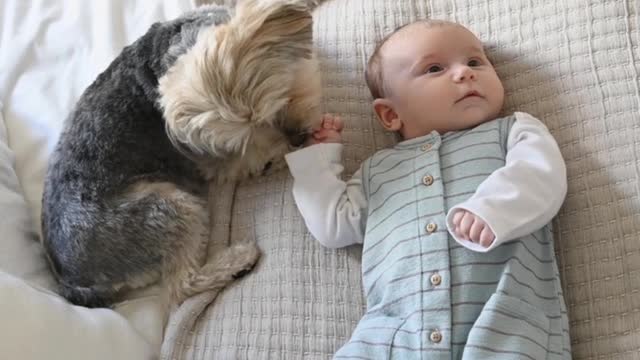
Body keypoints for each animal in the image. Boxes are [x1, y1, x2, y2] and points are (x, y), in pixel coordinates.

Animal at [41, 0, 320, 310]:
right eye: (246, 134)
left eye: (280, 96)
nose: (298, 139)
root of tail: (71, 281)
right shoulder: (215, 159)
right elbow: (246, 160)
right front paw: (274, 158)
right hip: (166, 209)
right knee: (180, 287)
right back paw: (238, 260)